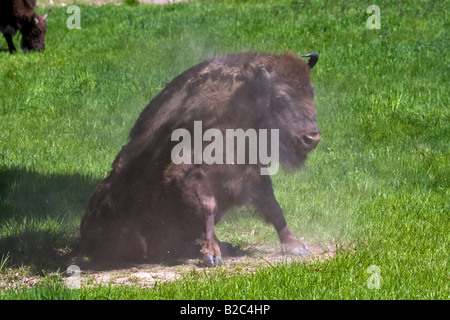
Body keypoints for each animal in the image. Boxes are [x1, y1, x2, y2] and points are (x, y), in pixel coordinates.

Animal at [80, 51, 320, 266]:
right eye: (280, 98)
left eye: (312, 92)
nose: (312, 137)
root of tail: (82, 237)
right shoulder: (187, 171)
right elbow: (207, 205)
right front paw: (211, 254)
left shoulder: (251, 172)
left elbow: (273, 207)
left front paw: (296, 246)